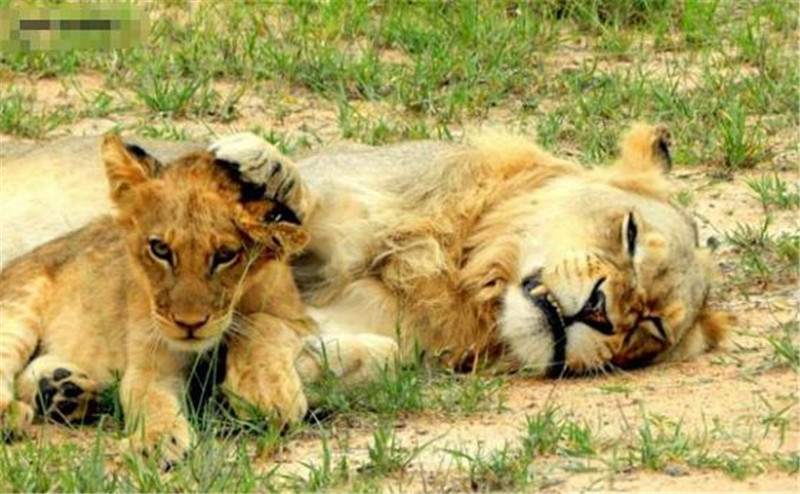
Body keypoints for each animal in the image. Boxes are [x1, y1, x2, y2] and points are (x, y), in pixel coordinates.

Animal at [0, 124, 728, 382]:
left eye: (649, 328)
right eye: (627, 233)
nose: (602, 314)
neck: (461, 278)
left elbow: (380, 357)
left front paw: (305, 363)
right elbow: (307, 207)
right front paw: (264, 171)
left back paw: (64, 389)